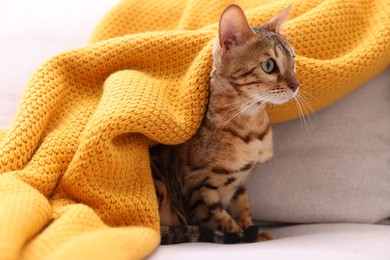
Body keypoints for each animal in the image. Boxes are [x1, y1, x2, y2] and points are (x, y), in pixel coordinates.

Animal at [149, 3, 298, 244]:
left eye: (293, 61)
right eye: (268, 65)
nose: (296, 85)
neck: (252, 130)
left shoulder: (241, 183)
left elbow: (243, 208)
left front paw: (253, 231)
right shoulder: (198, 187)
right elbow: (222, 220)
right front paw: (240, 234)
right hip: (160, 185)